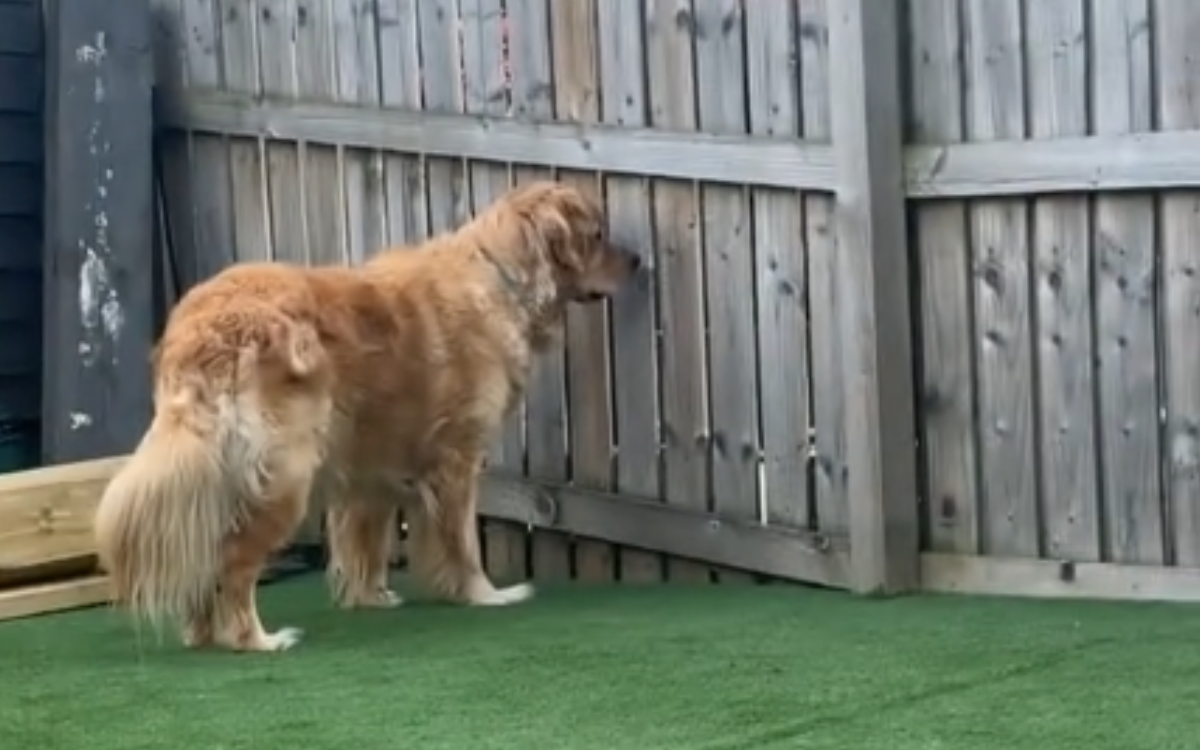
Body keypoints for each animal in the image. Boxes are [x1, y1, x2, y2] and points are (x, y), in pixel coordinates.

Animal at [94, 180, 643, 648]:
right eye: (597, 235)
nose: (639, 259)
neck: (500, 278)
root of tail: (202, 327)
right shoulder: (456, 460)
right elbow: (462, 542)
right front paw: (485, 595)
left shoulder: (369, 470)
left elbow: (365, 542)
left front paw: (370, 600)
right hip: (284, 477)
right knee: (233, 564)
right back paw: (255, 639)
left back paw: (204, 634)